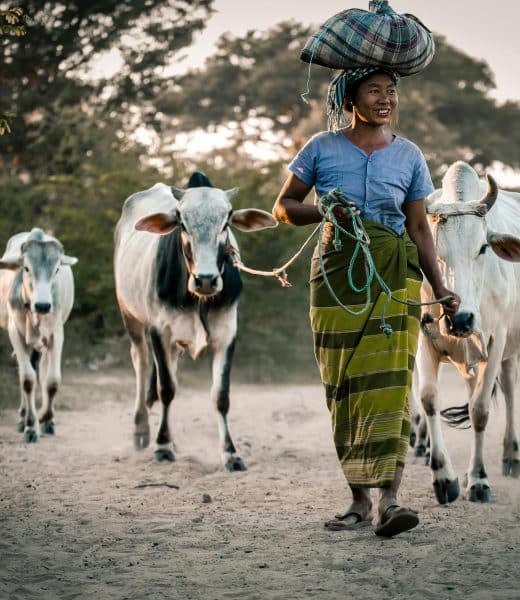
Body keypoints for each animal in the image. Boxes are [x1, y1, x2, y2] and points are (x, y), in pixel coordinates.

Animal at [0, 227, 77, 442]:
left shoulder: (56, 335)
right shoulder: (16, 334)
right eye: (26, 268)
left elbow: (51, 381)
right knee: (28, 372)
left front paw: (45, 418)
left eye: (57, 269)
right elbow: (27, 379)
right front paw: (30, 426)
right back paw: (23, 417)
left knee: (41, 372)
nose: (43, 305)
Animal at [416, 162, 520, 504]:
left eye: (483, 247)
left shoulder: (495, 341)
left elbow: (480, 410)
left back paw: (511, 456)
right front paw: (444, 477)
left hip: (508, 348)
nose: (460, 318)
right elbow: (429, 398)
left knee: (509, 389)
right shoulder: (424, 339)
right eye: (434, 251)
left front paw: (478, 480)